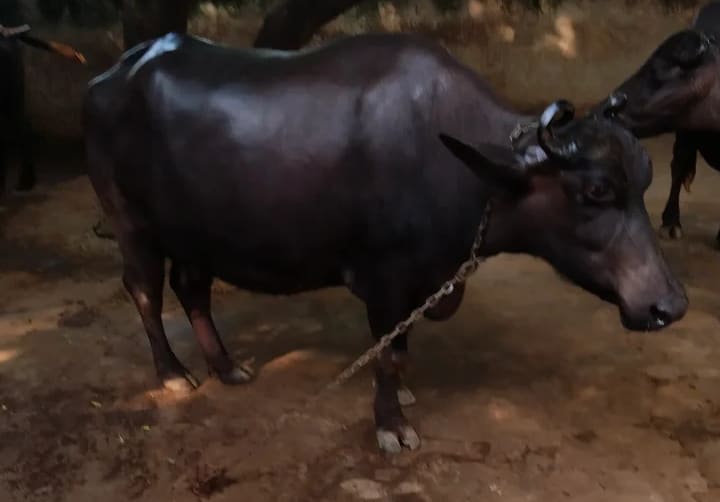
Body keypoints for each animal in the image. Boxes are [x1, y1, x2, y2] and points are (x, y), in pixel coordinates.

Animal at [84, 32, 687, 453]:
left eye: (645, 181)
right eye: (595, 190)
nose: (670, 305)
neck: (461, 168)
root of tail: (108, 79)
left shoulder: (420, 280)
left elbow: (398, 349)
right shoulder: (385, 279)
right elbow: (387, 355)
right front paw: (392, 424)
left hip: (197, 232)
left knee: (192, 287)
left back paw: (226, 367)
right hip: (131, 223)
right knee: (144, 289)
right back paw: (173, 373)